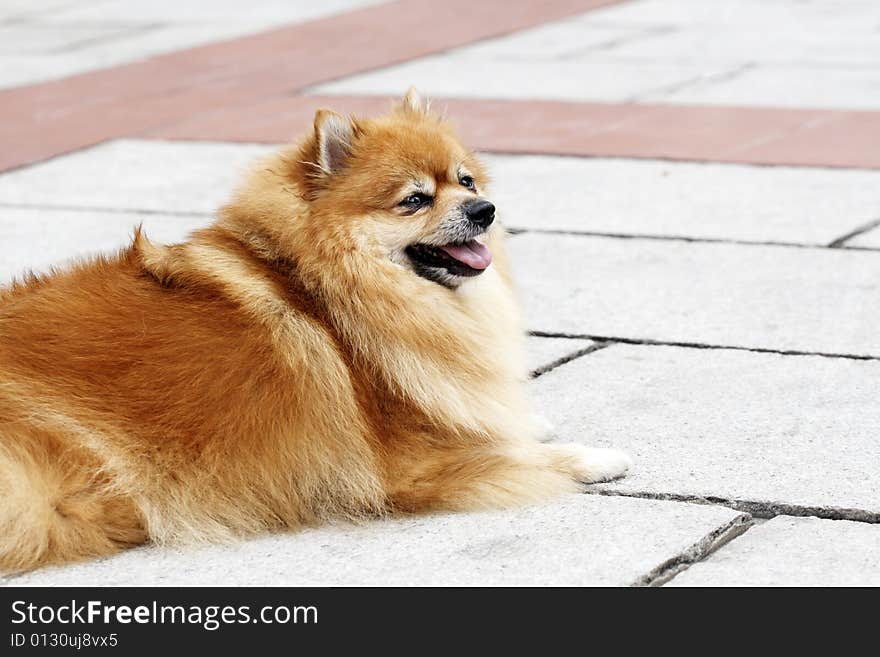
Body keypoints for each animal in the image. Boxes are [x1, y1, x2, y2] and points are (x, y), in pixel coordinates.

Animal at [0, 89, 632, 572]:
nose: (485, 210)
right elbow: (514, 452)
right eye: (415, 200)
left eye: (467, 181)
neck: (325, 292)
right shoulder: (404, 465)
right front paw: (591, 457)